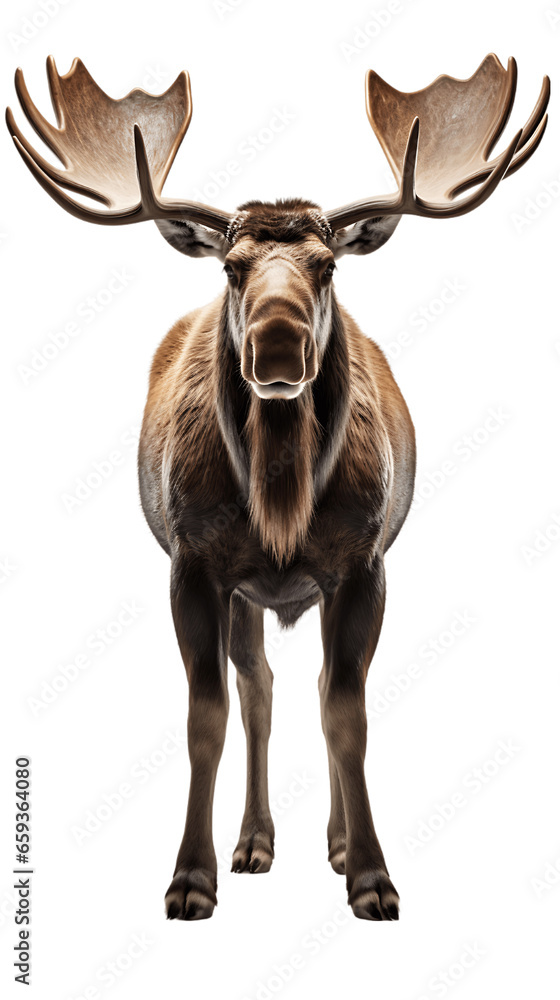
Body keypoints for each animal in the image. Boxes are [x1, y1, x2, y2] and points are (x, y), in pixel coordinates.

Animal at [7, 53, 549, 921]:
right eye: (233, 269)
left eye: (326, 267)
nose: (279, 347)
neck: (281, 502)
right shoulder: (193, 562)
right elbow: (208, 716)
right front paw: (190, 879)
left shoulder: (363, 562)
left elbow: (347, 712)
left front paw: (372, 877)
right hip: (242, 590)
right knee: (257, 686)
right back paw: (254, 843)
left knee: (316, 683)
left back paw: (329, 844)